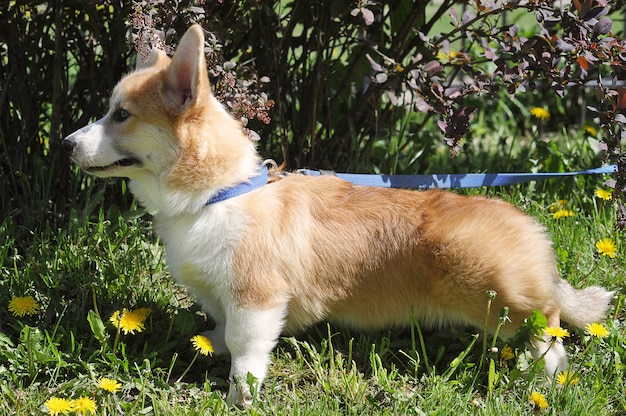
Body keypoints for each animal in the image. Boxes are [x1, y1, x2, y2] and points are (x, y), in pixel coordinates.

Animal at [63, 25, 608, 406]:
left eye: (121, 115)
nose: (66, 144)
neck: (218, 195)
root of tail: (534, 235)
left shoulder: (257, 298)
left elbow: (246, 348)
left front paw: (240, 396)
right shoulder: (223, 296)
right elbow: (221, 329)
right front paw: (209, 345)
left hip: (498, 296)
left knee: (548, 334)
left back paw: (543, 379)